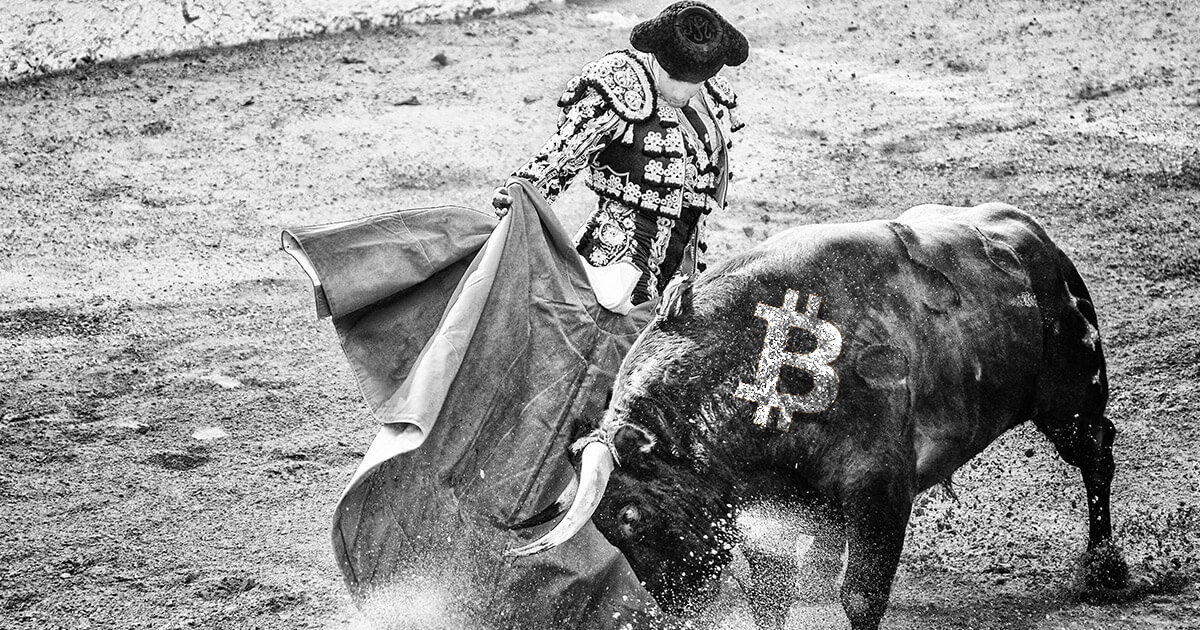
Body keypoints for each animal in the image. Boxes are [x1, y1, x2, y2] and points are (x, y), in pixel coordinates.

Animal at [504, 203, 1129, 630]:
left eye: (631, 517)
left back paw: (1104, 573)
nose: (680, 609)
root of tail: (1038, 240)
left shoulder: (880, 490)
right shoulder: (770, 509)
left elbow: (861, 595)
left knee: (1098, 457)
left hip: (1072, 402)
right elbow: (769, 598)